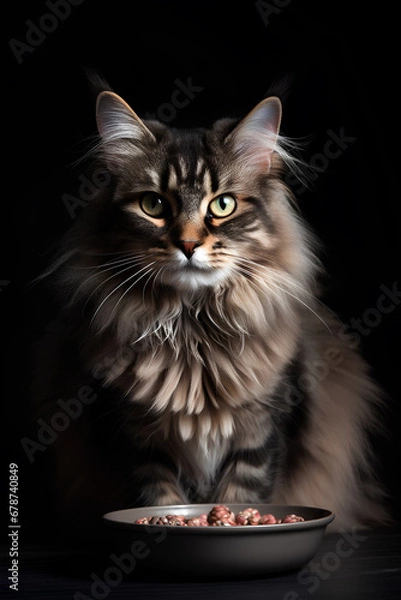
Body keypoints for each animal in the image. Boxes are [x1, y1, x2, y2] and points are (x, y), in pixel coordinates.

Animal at [32, 88, 390, 528]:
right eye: (153, 205)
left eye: (222, 206)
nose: (187, 244)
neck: (193, 332)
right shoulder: (137, 442)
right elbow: (159, 500)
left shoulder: (263, 436)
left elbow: (242, 494)